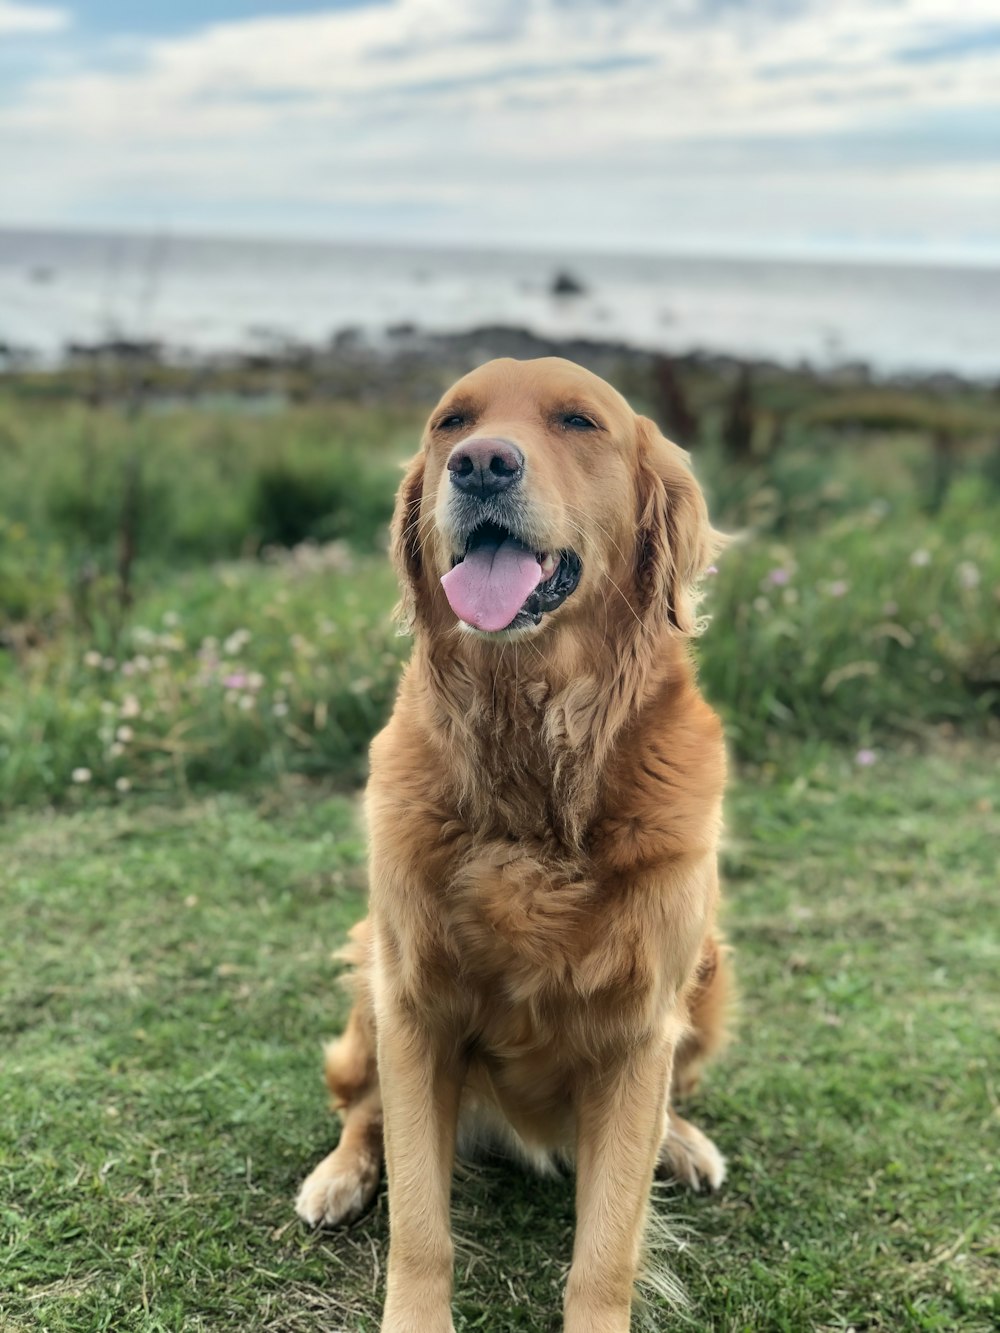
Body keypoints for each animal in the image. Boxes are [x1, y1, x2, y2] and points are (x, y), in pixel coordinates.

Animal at [293, 357, 730, 1333]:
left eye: (579, 421)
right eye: (450, 422)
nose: (482, 463)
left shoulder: (640, 1030)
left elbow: (606, 1248)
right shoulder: (414, 1005)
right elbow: (421, 1224)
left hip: (711, 972)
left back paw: (682, 1143)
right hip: (373, 973)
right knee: (361, 1106)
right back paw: (339, 1174)